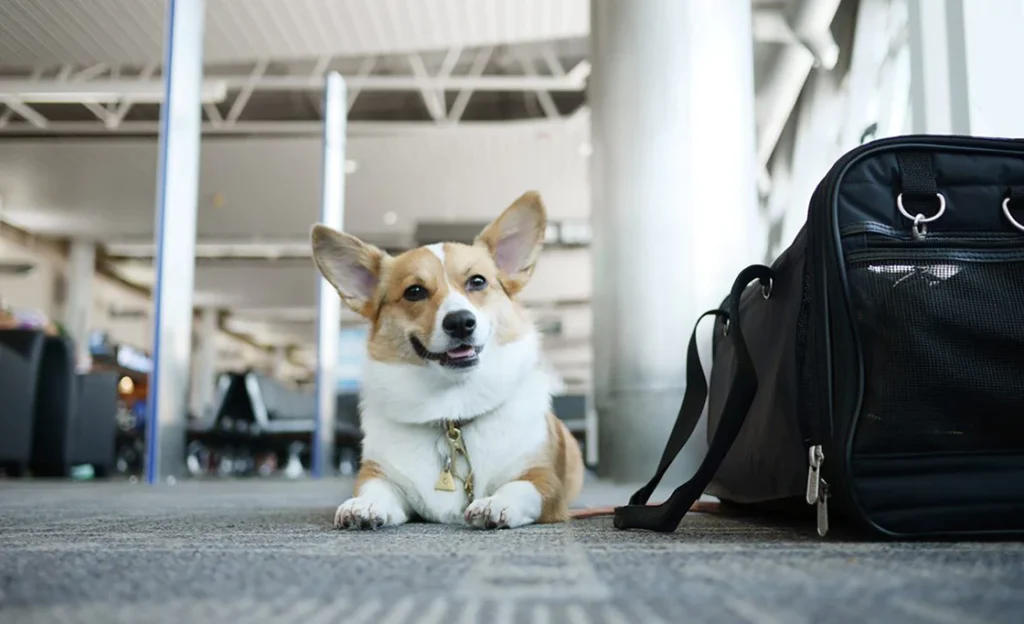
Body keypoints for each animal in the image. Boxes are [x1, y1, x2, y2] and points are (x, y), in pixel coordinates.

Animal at [309, 192, 585, 528]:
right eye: (414, 291)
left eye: (477, 282)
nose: (460, 322)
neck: (453, 412)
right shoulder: (379, 473)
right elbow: (375, 488)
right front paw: (365, 505)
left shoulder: (545, 482)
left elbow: (520, 487)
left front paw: (495, 503)